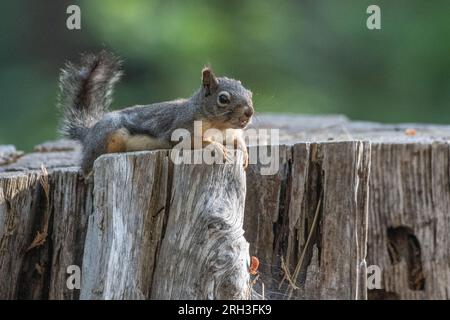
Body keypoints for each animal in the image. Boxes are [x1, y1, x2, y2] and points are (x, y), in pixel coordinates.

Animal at [57, 51, 253, 175]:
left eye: (250, 93)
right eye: (223, 99)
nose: (249, 112)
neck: (219, 127)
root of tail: (90, 131)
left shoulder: (231, 133)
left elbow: (238, 140)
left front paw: (244, 152)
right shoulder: (182, 128)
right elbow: (195, 141)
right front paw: (216, 146)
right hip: (106, 137)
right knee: (86, 164)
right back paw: (88, 173)